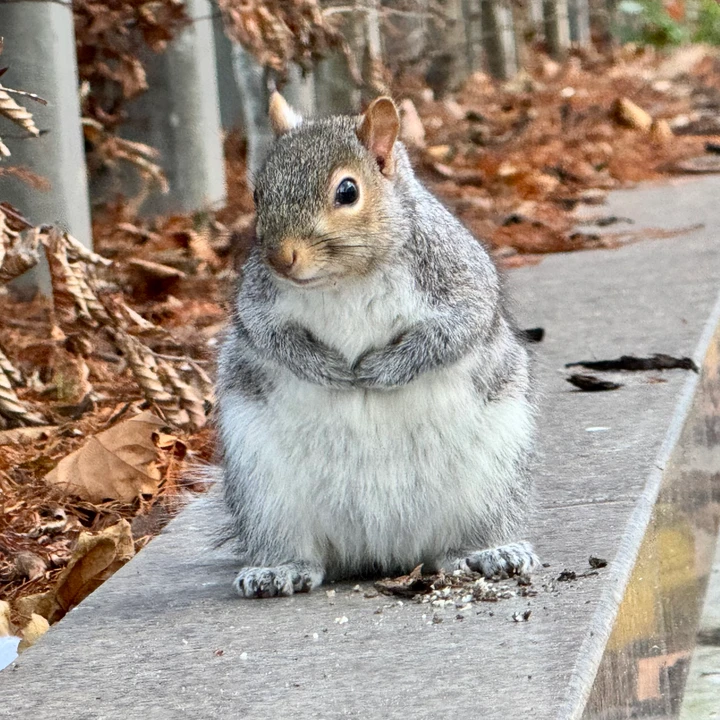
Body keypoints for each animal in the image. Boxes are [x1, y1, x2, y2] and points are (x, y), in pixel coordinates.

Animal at [216, 92, 539, 598]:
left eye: (347, 192)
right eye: (258, 194)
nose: (280, 258)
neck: (346, 278)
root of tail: (381, 551)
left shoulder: (459, 280)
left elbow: (454, 331)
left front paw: (379, 370)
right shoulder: (256, 304)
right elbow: (270, 337)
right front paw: (326, 369)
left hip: (493, 474)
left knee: (469, 534)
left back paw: (489, 552)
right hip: (262, 487)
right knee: (295, 545)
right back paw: (278, 569)